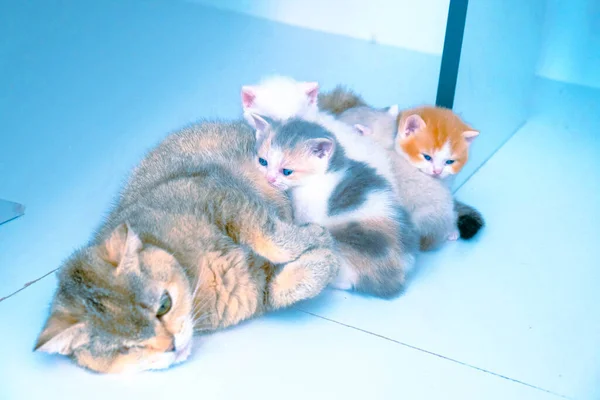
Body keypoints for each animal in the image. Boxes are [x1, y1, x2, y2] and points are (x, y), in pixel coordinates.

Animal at [35, 120, 340, 374]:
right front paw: (324, 257)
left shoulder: (221, 195)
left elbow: (270, 237)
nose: (171, 346)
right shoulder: (254, 290)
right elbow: (285, 288)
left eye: (163, 305)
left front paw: (316, 238)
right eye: (127, 349)